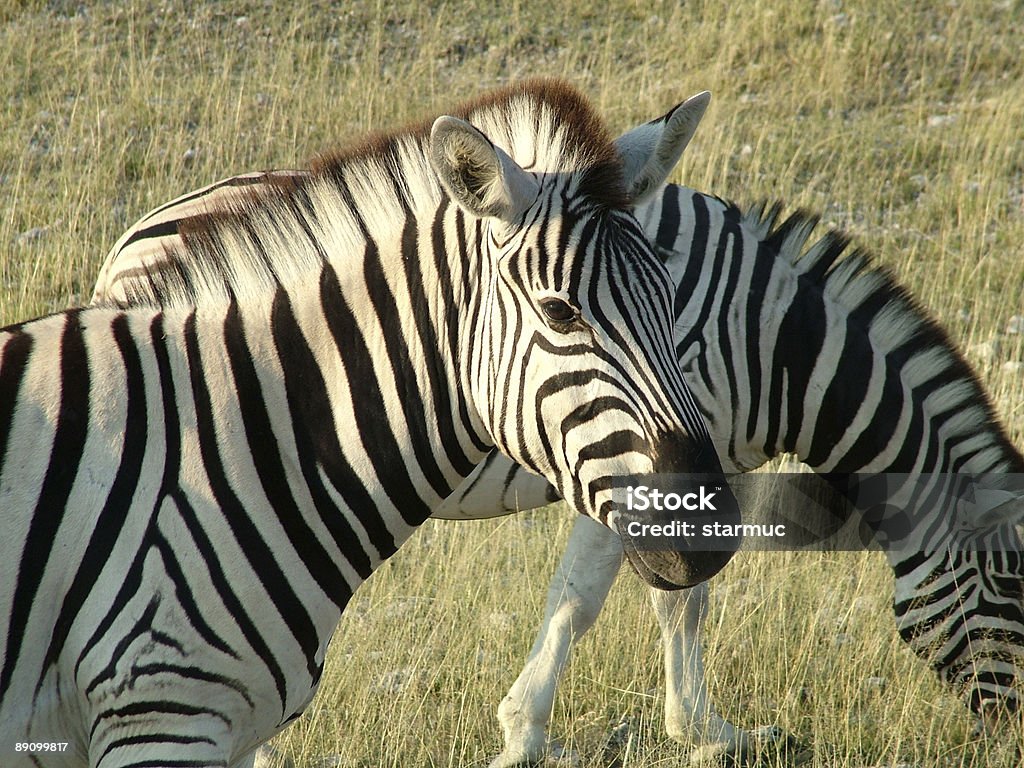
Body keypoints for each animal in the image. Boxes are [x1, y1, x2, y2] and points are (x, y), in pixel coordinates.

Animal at [90, 166, 1024, 765]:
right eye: (1012, 592)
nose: (1013, 735)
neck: (769, 342)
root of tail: (137, 232)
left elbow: (673, 600)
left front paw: (699, 729)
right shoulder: (655, 466)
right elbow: (619, 601)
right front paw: (543, 734)